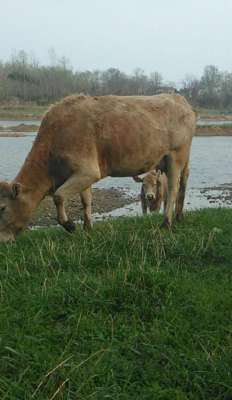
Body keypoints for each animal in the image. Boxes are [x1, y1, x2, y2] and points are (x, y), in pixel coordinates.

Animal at [0, 94, 196, 241]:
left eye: (2, 208)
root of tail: (178, 98)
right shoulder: (83, 175)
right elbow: (86, 200)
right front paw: (88, 228)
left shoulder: (88, 170)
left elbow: (58, 196)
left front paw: (70, 225)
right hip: (182, 159)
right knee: (184, 183)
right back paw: (179, 216)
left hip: (175, 156)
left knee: (173, 189)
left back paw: (166, 224)